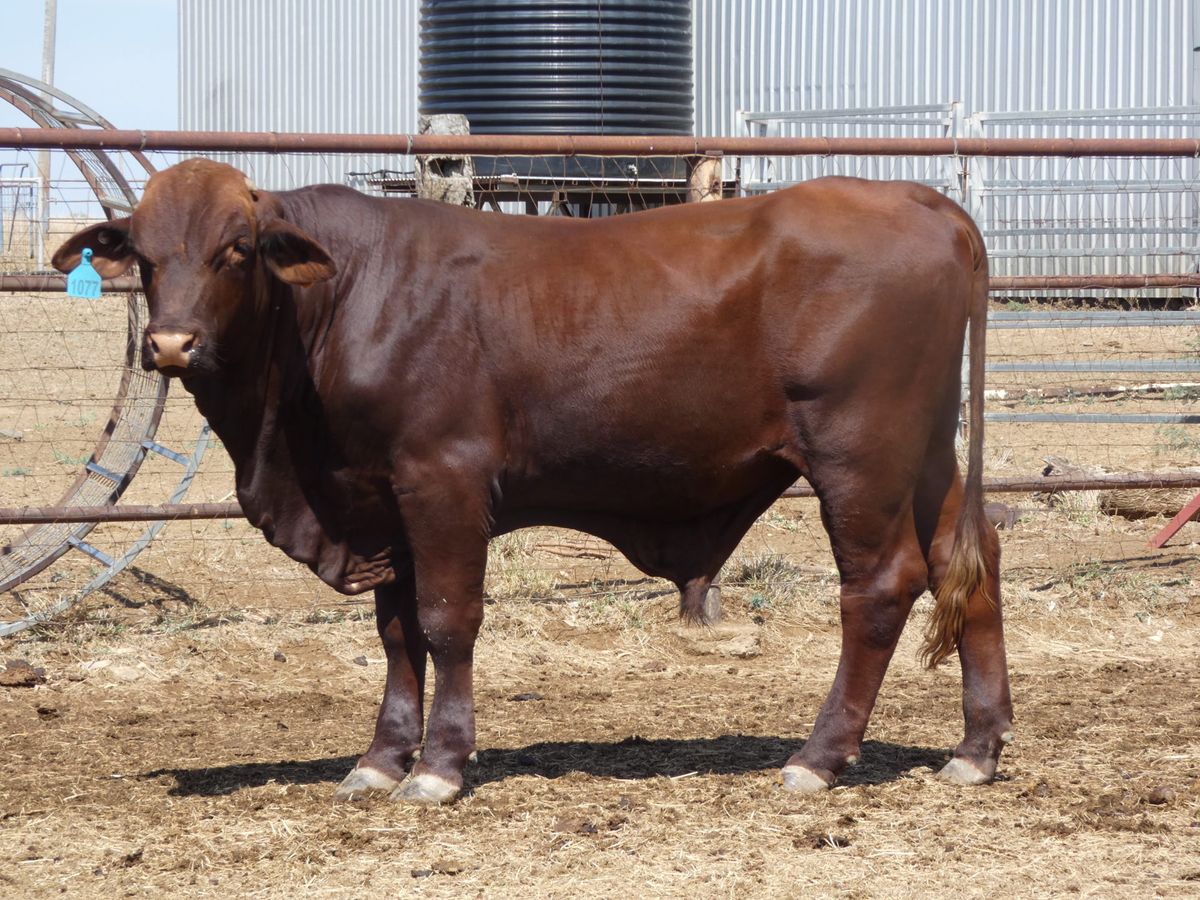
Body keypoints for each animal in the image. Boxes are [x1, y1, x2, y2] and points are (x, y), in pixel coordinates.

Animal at [53, 159, 1012, 804]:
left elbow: (447, 621)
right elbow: (396, 634)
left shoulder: (440, 480)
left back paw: (817, 758)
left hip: (858, 453)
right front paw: (380, 760)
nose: (170, 344)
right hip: (926, 456)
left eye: (238, 249)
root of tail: (926, 202)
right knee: (971, 566)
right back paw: (976, 748)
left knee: (881, 586)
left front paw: (439, 767)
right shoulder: (378, 499)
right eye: (143, 255)